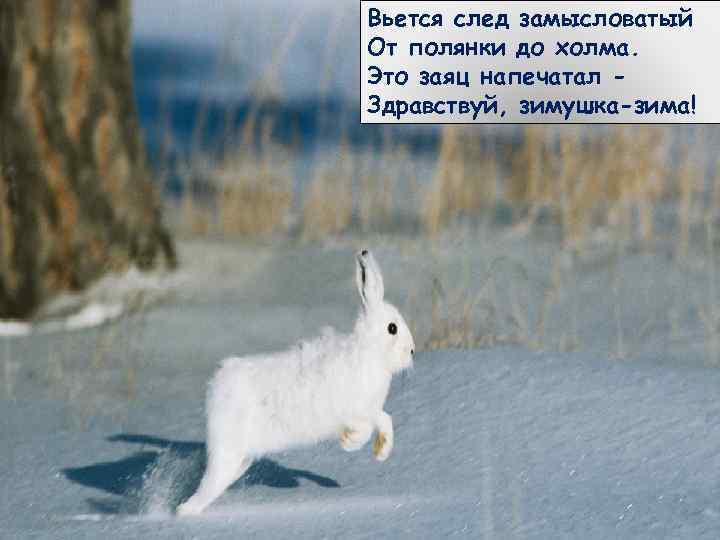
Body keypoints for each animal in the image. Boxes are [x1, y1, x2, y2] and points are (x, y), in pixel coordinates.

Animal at [176, 249, 415, 516]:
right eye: (392, 328)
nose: (412, 351)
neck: (370, 351)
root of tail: (216, 389)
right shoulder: (356, 410)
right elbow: (371, 425)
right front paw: (356, 445)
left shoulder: (367, 412)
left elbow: (380, 422)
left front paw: (374, 451)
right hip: (228, 452)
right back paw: (183, 512)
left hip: (241, 459)